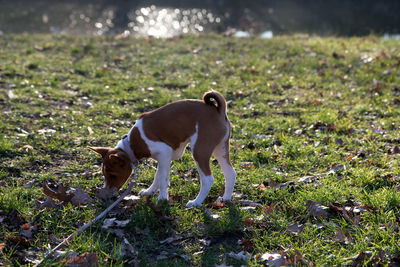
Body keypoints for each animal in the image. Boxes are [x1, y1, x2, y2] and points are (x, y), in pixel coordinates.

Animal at [89, 91, 236, 208]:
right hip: (220, 149)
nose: (106, 195)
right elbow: (157, 176)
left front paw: (162, 198)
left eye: (113, 175)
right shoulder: (163, 158)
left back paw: (196, 202)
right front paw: (149, 192)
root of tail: (218, 110)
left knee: (208, 179)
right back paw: (225, 199)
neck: (132, 144)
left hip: (200, 151)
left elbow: (163, 179)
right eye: (104, 175)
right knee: (230, 173)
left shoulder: (164, 153)